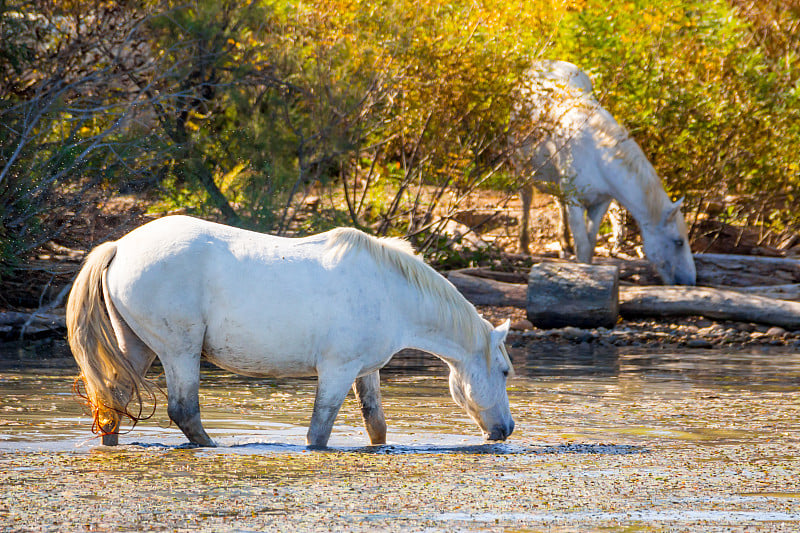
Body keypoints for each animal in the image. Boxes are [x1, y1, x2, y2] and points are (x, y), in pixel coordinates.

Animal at [70, 214, 520, 446]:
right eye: (504, 371)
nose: (506, 430)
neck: (390, 291)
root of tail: (119, 246)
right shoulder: (336, 372)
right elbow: (319, 432)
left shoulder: (364, 371)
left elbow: (375, 423)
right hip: (179, 351)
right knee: (184, 411)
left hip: (139, 347)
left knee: (113, 403)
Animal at [512, 59, 692, 284]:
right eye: (679, 242)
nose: (691, 282)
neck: (598, 156)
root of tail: (540, 64)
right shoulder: (575, 202)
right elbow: (582, 246)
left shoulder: (600, 203)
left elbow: (590, 245)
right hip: (520, 163)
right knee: (526, 199)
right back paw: (523, 246)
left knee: (558, 202)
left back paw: (564, 244)